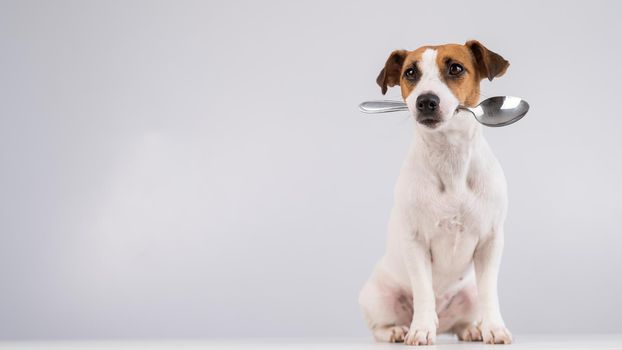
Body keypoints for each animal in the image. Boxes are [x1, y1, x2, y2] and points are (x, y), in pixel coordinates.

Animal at [360, 41, 516, 344]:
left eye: (455, 68)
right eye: (410, 72)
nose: (426, 101)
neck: (450, 156)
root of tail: (444, 322)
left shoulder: (491, 241)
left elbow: (489, 291)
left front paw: (493, 327)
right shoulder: (415, 243)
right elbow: (423, 291)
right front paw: (421, 329)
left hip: (469, 295)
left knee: (462, 320)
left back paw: (471, 328)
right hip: (377, 296)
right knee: (379, 327)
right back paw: (397, 330)